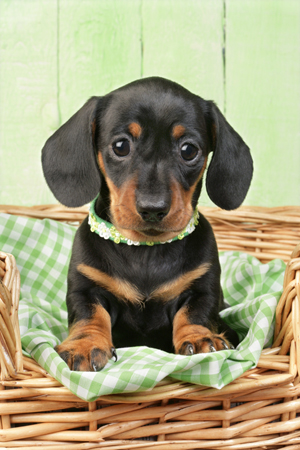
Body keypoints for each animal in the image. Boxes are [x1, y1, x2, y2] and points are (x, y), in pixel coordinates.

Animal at [41, 78, 253, 372]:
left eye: (189, 150)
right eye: (120, 146)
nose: (153, 208)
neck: (145, 248)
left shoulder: (204, 288)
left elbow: (196, 313)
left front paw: (200, 338)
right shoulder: (85, 288)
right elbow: (89, 315)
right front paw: (84, 345)